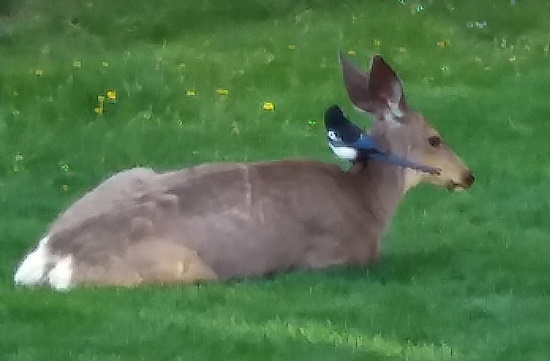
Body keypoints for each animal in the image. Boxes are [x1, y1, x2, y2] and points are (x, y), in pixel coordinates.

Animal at [15, 54, 476, 290]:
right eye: (435, 138)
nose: (468, 175)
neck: (367, 205)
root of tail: (52, 256)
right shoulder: (336, 257)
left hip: (130, 172)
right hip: (187, 268)